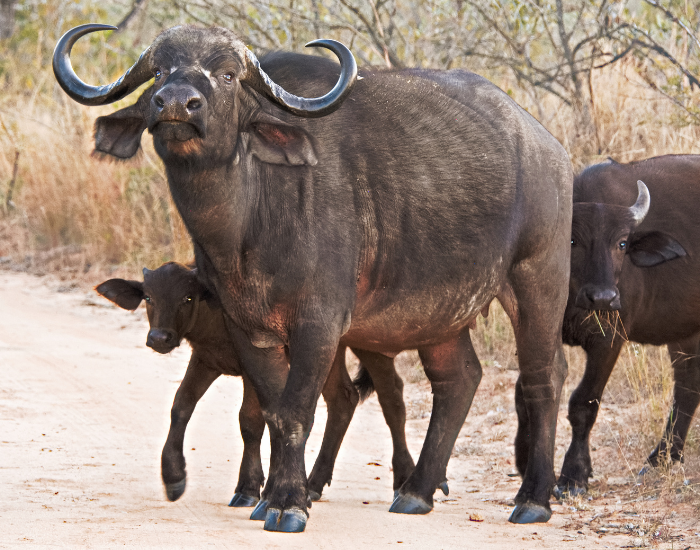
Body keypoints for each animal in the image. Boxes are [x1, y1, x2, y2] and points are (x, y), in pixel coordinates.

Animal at [96, 261, 415, 505]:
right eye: (148, 297)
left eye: (187, 298)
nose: (159, 338)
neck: (216, 316)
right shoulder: (205, 360)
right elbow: (181, 405)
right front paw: (173, 475)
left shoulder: (252, 369)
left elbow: (250, 422)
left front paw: (249, 488)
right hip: (331, 353)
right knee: (344, 399)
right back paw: (314, 483)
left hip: (374, 345)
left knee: (392, 399)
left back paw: (404, 481)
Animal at [557, 155, 700, 497]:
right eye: (573, 240)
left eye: (622, 243)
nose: (604, 298)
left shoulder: (609, 339)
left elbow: (584, 403)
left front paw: (573, 475)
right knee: (689, 383)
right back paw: (663, 457)